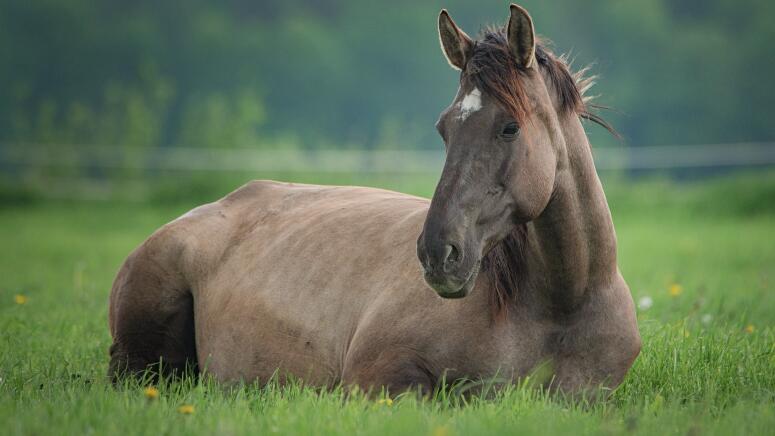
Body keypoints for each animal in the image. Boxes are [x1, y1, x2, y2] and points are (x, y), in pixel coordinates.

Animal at [109, 4, 644, 396]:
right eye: (444, 129)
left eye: (510, 127)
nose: (438, 253)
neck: (561, 306)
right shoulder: (377, 378)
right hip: (143, 359)